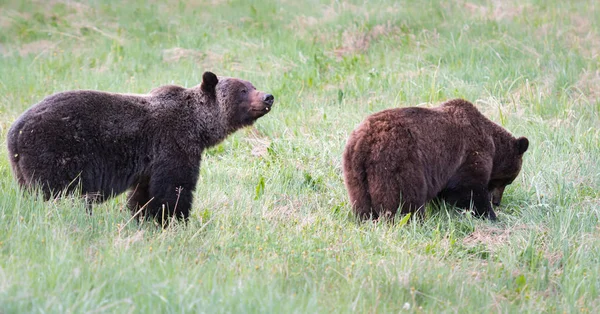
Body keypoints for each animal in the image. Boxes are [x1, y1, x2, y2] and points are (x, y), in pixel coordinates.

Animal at [6, 71, 274, 223]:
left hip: (23, 170)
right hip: (56, 152)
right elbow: (174, 188)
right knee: (58, 194)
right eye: (243, 90)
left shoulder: (150, 163)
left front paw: (144, 217)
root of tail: (14, 131)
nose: (268, 96)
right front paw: (173, 219)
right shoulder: (172, 144)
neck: (198, 127)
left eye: (252, 85)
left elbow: (144, 193)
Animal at [342, 98, 528, 221]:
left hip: (355, 172)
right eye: (508, 181)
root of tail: (366, 142)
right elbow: (470, 189)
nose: (497, 202)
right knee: (404, 198)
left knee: (361, 201)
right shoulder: (470, 154)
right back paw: (413, 220)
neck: (494, 146)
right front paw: (490, 214)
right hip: (398, 162)